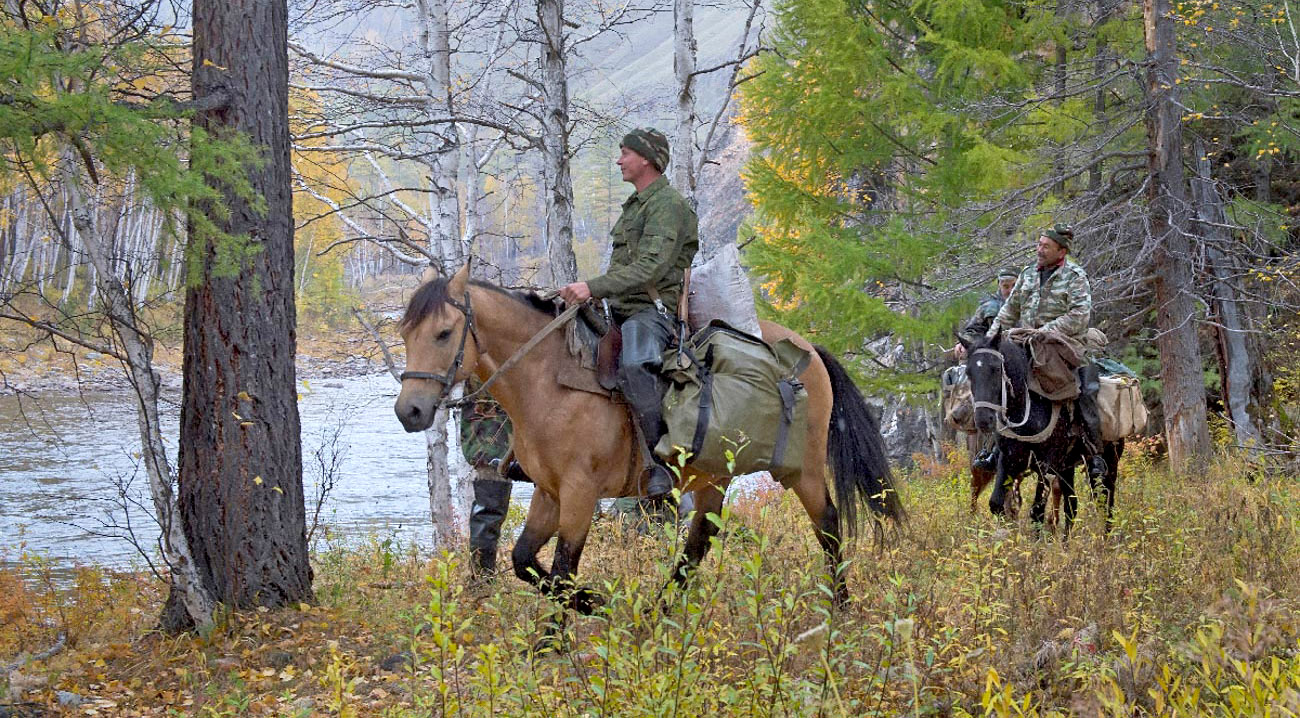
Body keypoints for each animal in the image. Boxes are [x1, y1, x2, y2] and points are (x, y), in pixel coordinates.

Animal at [395, 266, 904, 624]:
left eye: (444, 332)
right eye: (405, 333)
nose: (409, 412)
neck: (549, 379)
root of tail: (810, 349)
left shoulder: (579, 494)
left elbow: (562, 569)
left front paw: (557, 639)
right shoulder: (549, 492)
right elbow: (524, 562)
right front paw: (597, 604)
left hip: (805, 470)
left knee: (828, 526)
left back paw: (840, 608)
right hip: (714, 476)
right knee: (698, 543)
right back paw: (661, 614)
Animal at [961, 330, 1123, 533]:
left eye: (996, 368)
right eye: (969, 373)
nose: (983, 420)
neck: (1027, 410)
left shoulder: (1045, 464)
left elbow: (1036, 511)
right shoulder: (1008, 459)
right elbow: (997, 504)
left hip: (1110, 462)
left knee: (1107, 504)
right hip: (1066, 468)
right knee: (1072, 507)